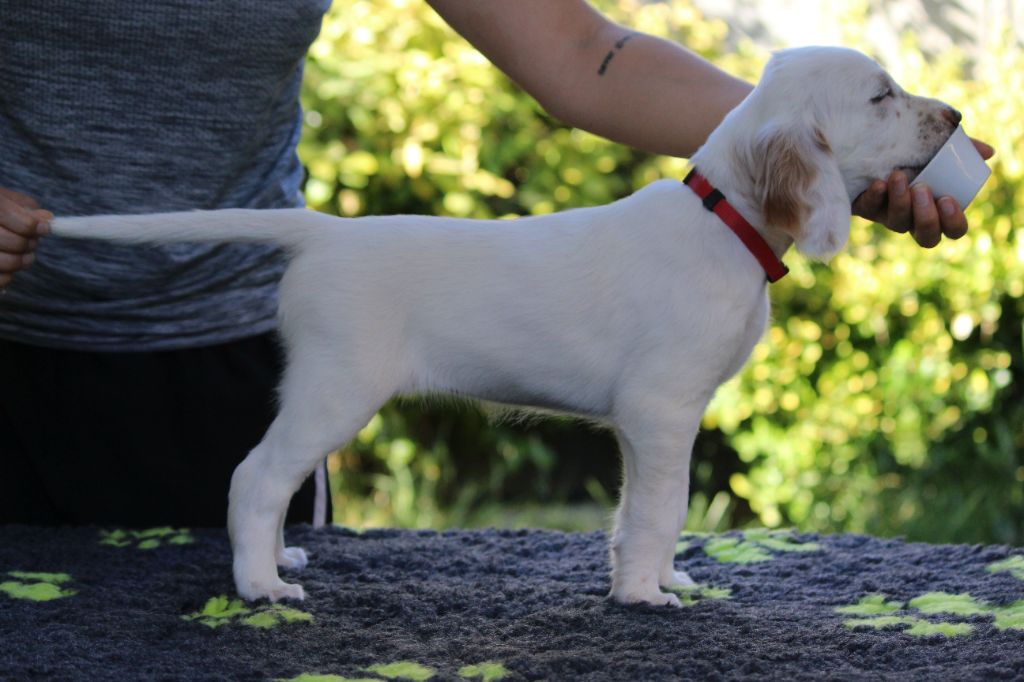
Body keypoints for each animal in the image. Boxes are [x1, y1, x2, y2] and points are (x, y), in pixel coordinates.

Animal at [51, 47, 962, 606]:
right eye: (882, 96)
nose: (955, 115)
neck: (725, 220)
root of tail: (325, 231)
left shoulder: (644, 425)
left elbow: (638, 512)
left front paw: (654, 582)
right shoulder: (663, 411)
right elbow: (662, 509)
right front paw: (646, 597)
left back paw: (277, 558)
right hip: (336, 387)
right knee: (257, 477)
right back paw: (261, 587)